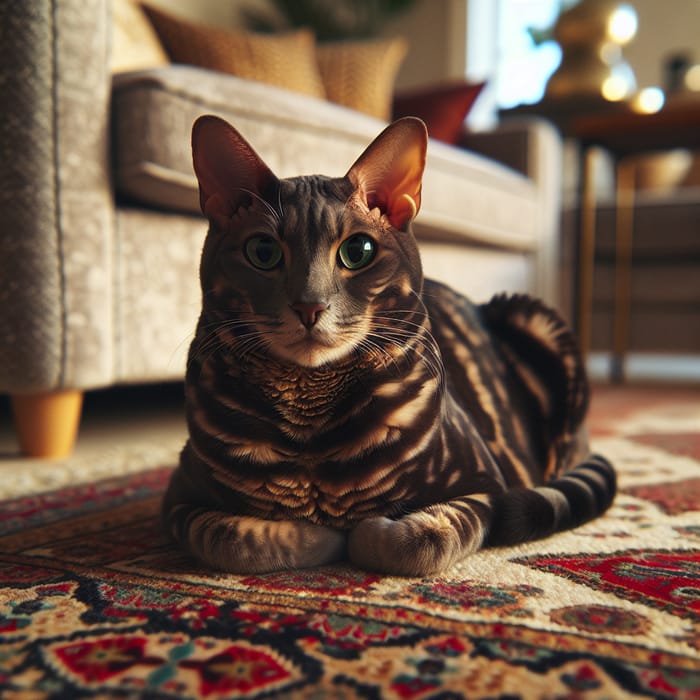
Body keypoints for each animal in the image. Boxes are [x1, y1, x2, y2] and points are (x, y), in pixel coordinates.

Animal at [161, 113, 616, 576]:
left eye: (358, 251)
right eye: (263, 251)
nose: (309, 306)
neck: (309, 421)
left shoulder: (484, 487)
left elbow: (413, 541)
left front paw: (360, 531)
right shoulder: (181, 497)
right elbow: (235, 540)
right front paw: (316, 532)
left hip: (534, 320)